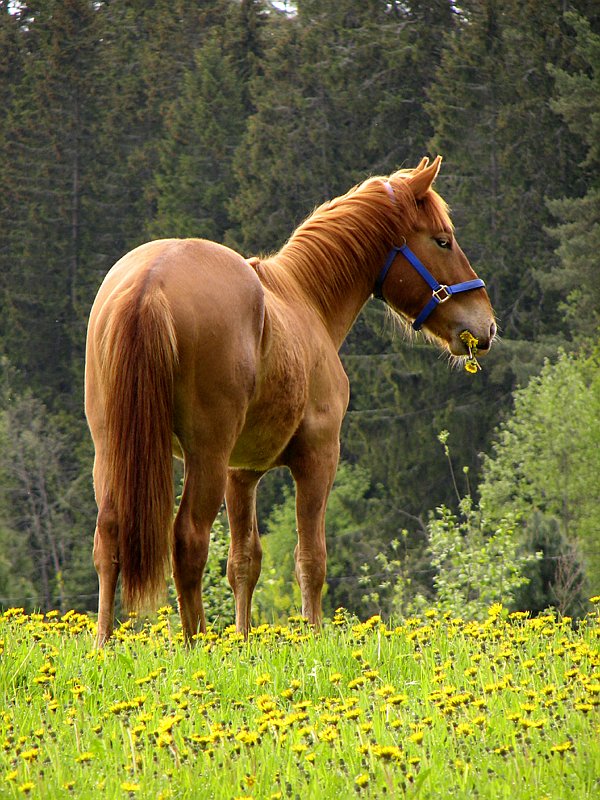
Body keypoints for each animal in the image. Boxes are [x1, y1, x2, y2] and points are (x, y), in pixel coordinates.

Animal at [85, 156, 496, 644]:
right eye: (442, 240)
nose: (486, 324)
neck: (305, 298)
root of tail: (151, 280)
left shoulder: (241, 473)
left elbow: (244, 562)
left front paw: (243, 642)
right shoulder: (317, 457)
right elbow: (311, 559)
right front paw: (313, 639)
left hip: (113, 450)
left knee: (109, 537)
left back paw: (105, 644)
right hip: (205, 453)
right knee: (188, 540)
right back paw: (195, 644)